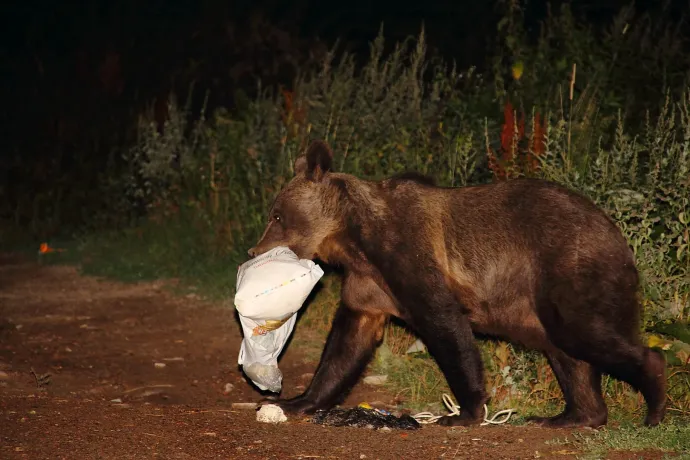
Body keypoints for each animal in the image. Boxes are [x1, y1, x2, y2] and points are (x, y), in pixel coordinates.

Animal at [246, 138, 660, 426]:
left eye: (277, 215)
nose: (253, 249)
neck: (355, 241)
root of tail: (618, 235)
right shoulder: (368, 286)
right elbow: (346, 345)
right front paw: (294, 401)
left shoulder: (408, 254)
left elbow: (444, 324)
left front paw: (465, 411)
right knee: (568, 354)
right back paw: (570, 416)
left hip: (568, 268)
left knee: (584, 333)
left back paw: (653, 403)